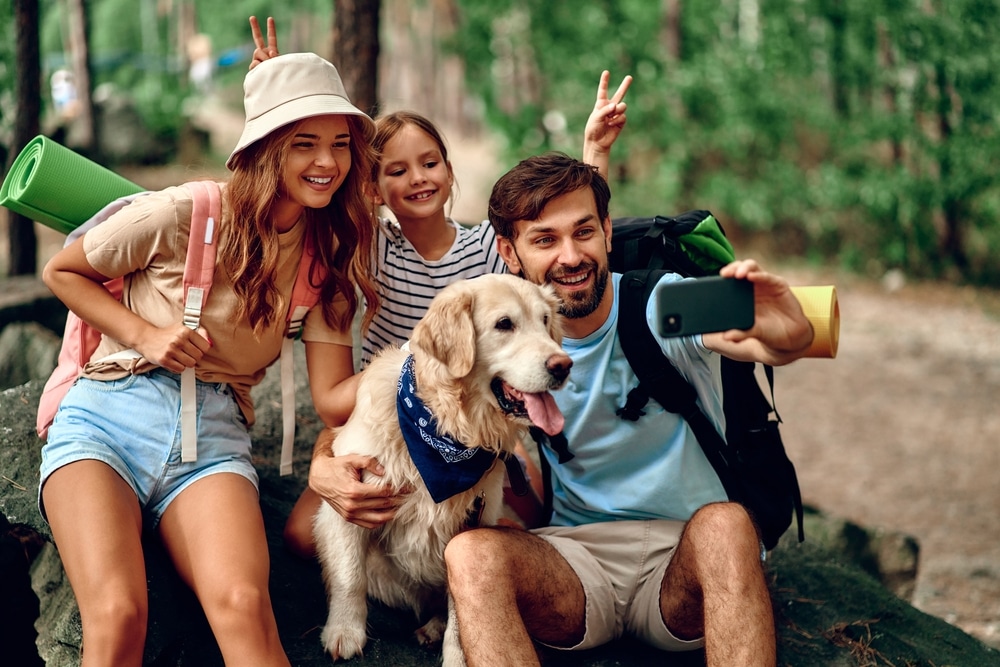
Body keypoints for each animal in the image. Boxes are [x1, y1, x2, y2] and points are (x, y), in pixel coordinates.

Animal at [316, 272, 576, 664]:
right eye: (504, 324)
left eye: (545, 321)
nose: (563, 365)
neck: (446, 430)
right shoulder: (350, 498)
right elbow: (350, 575)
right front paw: (344, 632)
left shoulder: (470, 528)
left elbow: (460, 609)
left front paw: (457, 655)